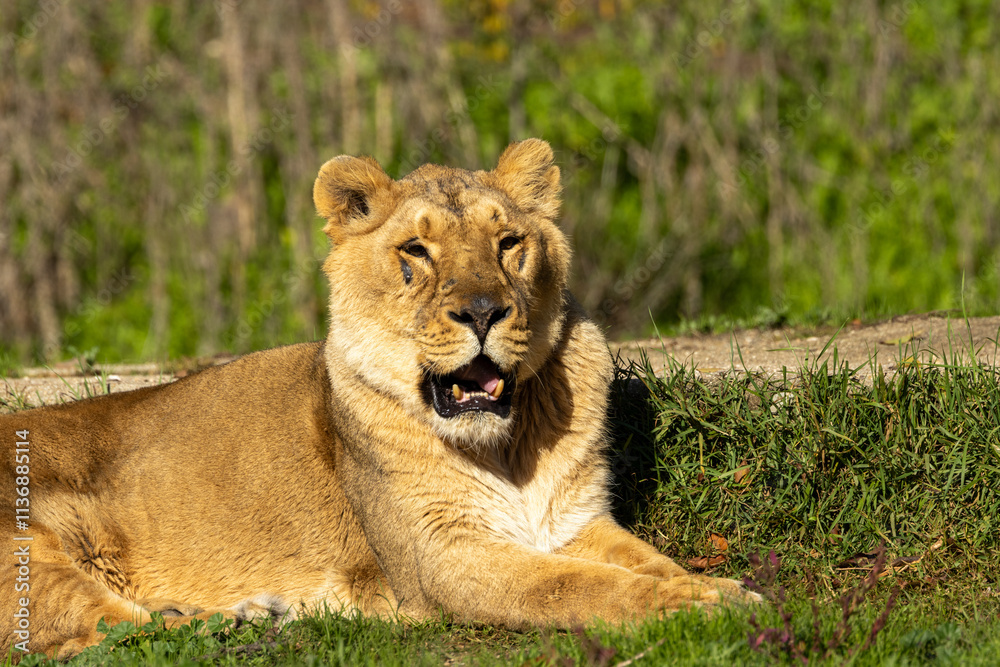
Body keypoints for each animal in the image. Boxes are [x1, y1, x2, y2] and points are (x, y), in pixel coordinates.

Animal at [1, 139, 758, 659]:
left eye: (508, 242)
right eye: (416, 251)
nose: (482, 310)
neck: (509, 449)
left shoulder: (574, 523)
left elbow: (644, 562)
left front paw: (723, 590)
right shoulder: (440, 558)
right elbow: (577, 585)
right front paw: (695, 606)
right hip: (35, 545)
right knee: (110, 634)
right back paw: (242, 618)